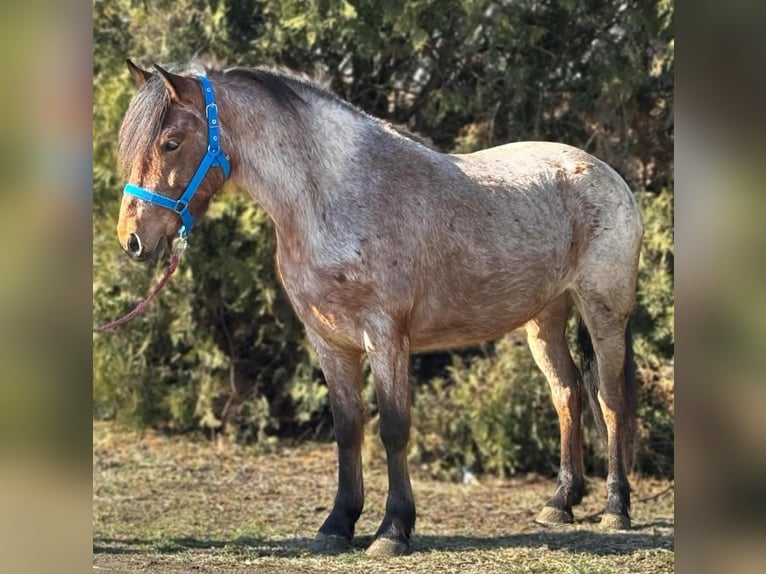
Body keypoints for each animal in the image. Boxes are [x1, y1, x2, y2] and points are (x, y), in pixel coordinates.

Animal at [112, 59, 640, 560]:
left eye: (172, 143)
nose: (132, 239)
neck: (332, 198)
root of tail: (606, 173)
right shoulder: (329, 343)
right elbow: (348, 428)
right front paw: (337, 525)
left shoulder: (386, 338)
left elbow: (393, 428)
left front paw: (393, 530)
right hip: (544, 319)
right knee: (568, 393)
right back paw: (561, 502)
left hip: (603, 314)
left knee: (610, 401)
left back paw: (616, 507)